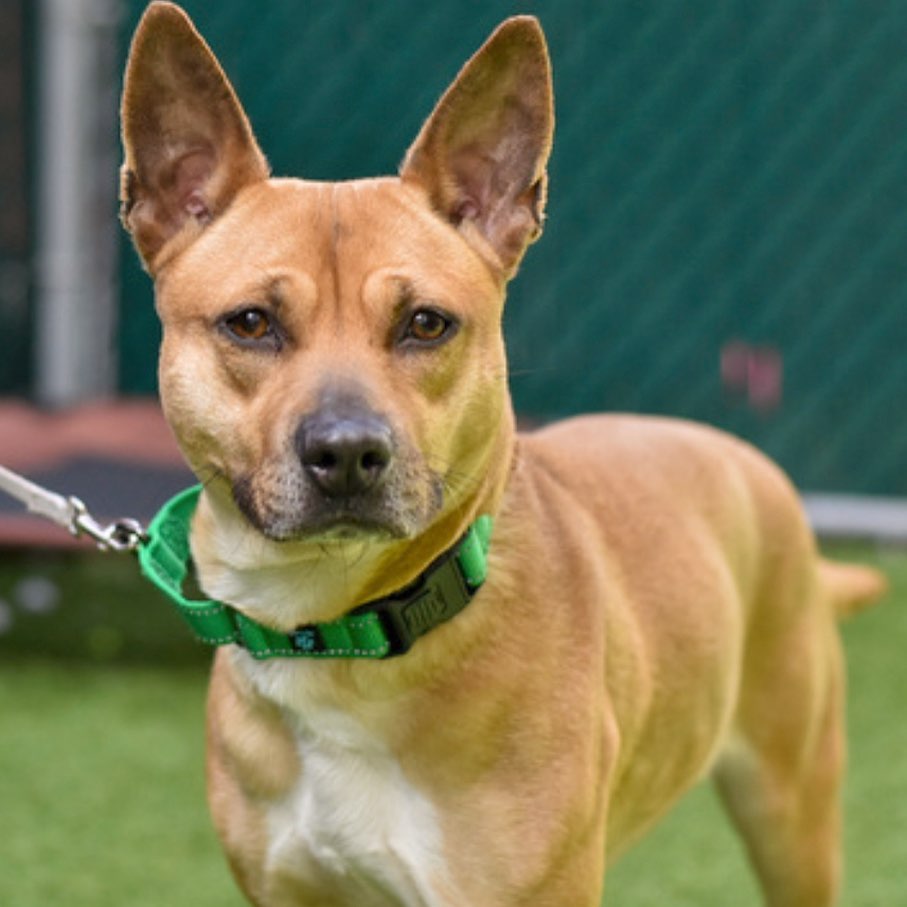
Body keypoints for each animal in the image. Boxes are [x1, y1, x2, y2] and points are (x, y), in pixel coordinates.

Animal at [119, 3, 888, 904]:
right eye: (249, 322)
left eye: (425, 323)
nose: (347, 452)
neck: (339, 637)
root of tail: (734, 451)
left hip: (790, 808)